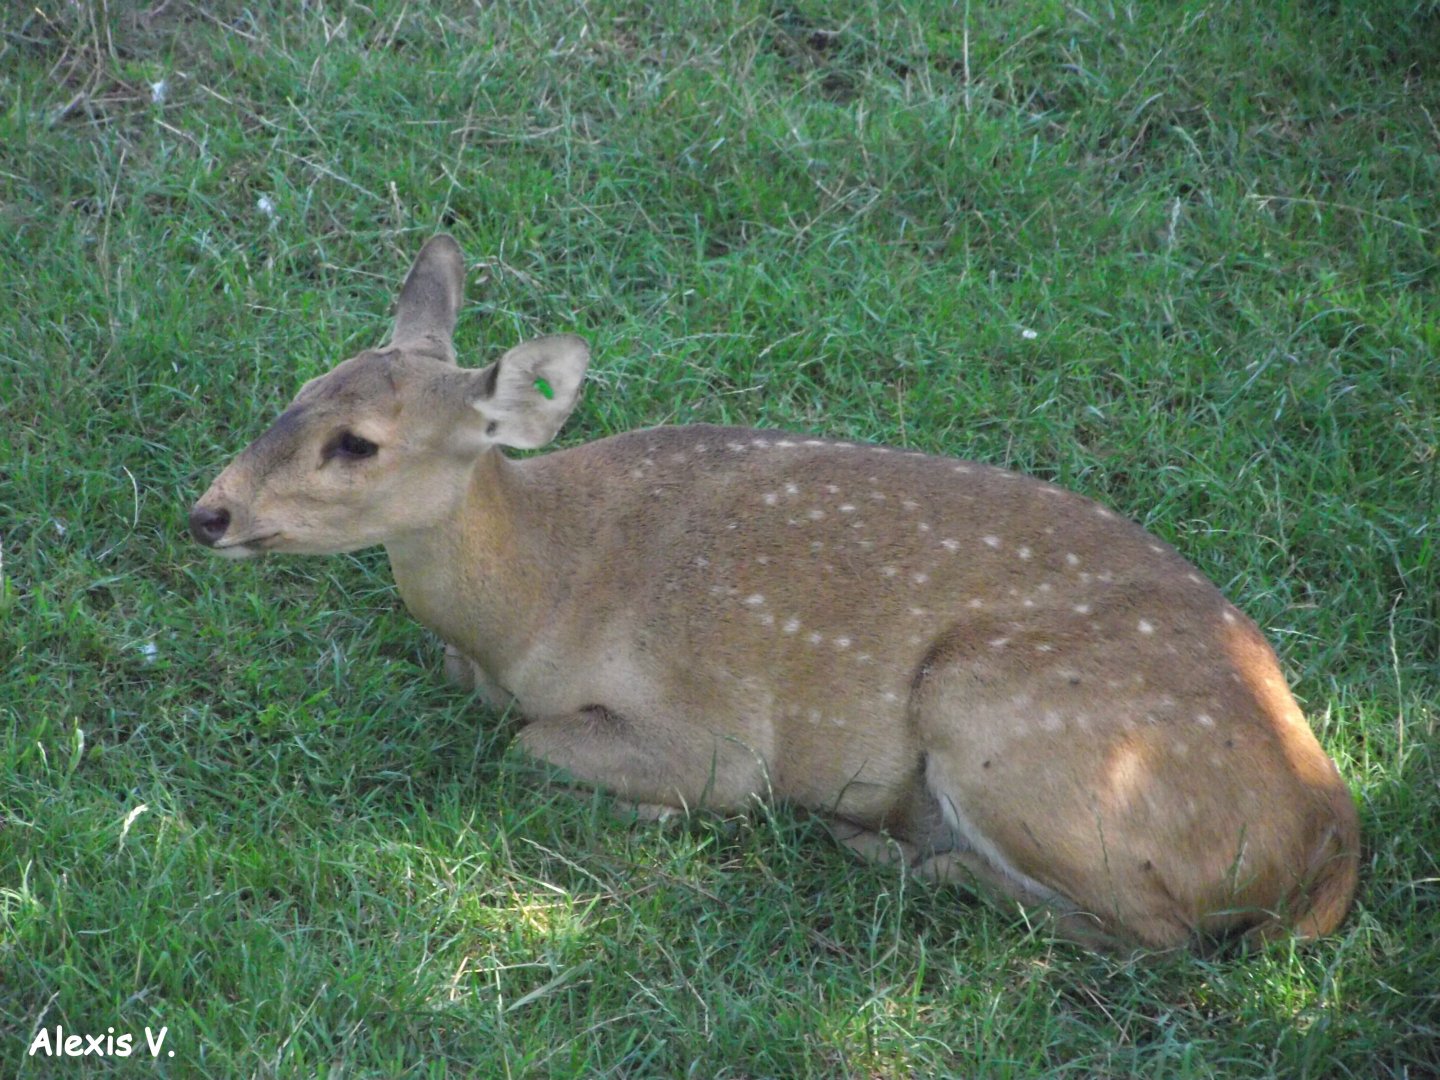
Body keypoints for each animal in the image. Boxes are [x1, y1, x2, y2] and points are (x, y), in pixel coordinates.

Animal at [190, 234, 1359, 953]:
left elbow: (536, 747)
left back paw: (886, 848)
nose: (209, 513)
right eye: (297, 394)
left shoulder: (715, 731)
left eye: (357, 443)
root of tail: (1325, 823)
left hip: (1010, 720)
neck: (537, 601)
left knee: (1156, 933)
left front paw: (650, 812)